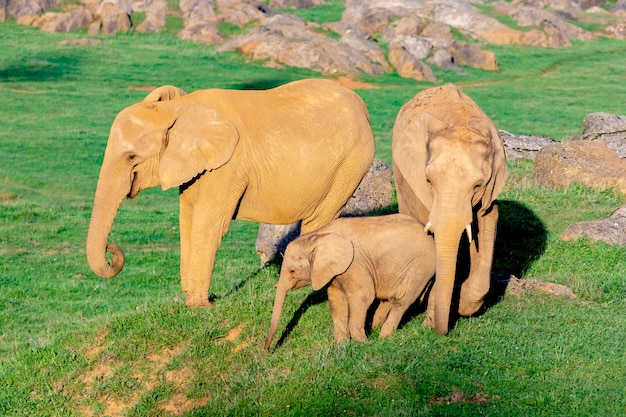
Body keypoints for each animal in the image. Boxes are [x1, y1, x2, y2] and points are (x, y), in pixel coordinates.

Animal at [85, 79, 372, 306]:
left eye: (131, 157)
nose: (112, 249)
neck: (180, 108)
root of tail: (362, 106)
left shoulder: (229, 165)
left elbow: (208, 222)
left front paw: (198, 306)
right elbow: (188, 219)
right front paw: (189, 301)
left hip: (349, 165)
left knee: (318, 220)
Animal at [264, 211, 434, 348]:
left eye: (292, 271)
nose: (267, 350)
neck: (319, 235)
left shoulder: (355, 264)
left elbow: (363, 296)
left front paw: (363, 344)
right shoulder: (335, 271)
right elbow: (336, 298)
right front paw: (341, 346)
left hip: (421, 265)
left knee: (402, 299)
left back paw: (383, 338)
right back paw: (376, 327)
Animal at [392, 84, 504, 334]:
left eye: (478, 185)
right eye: (428, 180)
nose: (441, 331)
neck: (460, 122)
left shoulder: (489, 193)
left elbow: (487, 220)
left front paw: (462, 305)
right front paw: (430, 321)